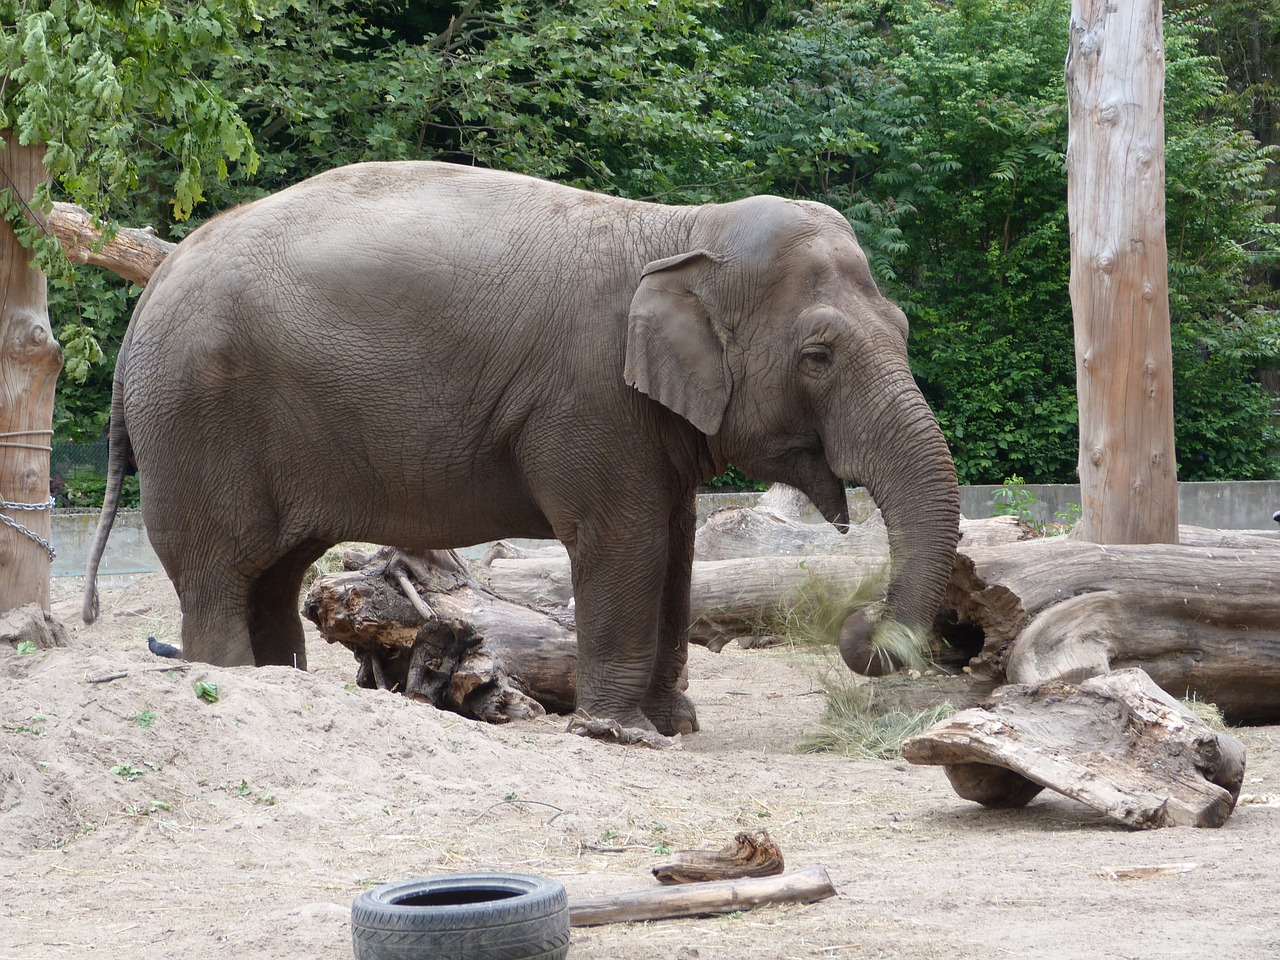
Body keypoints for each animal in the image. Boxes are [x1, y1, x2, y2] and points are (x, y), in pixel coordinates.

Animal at [82, 163, 962, 737]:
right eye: (818, 356)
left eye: (902, 329)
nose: (861, 627)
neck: (680, 225)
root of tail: (152, 288)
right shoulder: (590, 402)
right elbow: (624, 543)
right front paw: (618, 734)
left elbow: (674, 547)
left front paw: (674, 726)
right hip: (195, 427)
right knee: (219, 573)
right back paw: (237, 682)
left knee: (274, 571)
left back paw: (283, 683)